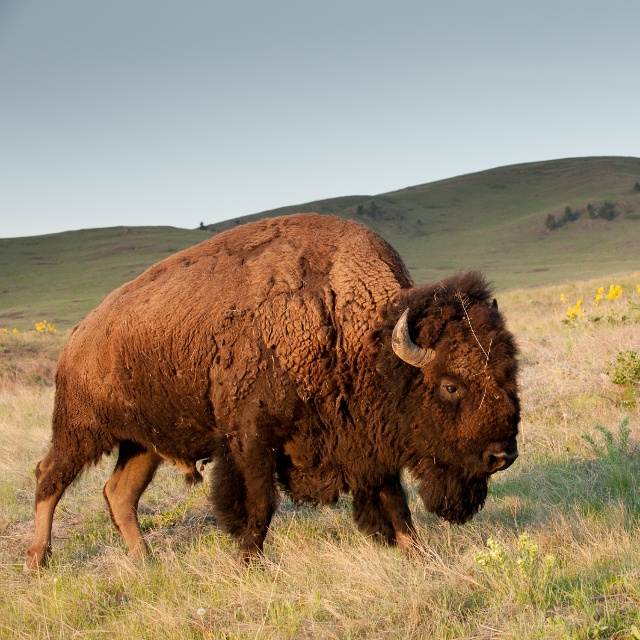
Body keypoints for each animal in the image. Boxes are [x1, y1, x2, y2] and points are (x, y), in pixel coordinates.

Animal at [25, 212, 520, 568]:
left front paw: (418, 553)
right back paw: (37, 562)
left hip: (142, 443)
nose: (503, 455)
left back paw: (146, 561)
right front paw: (250, 563)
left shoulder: (367, 443)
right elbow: (260, 504)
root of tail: (75, 339)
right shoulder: (251, 438)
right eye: (451, 385)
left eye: (509, 372)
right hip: (81, 430)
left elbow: (395, 502)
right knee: (49, 478)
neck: (355, 332)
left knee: (119, 494)